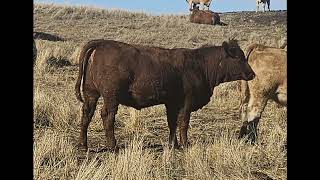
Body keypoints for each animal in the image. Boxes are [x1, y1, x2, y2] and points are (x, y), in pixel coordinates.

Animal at [75, 39, 255, 150]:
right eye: (239, 58)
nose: (252, 74)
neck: (200, 65)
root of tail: (103, 43)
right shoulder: (186, 103)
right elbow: (183, 123)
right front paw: (185, 144)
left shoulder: (172, 103)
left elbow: (172, 123)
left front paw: (173, 145)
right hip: (111, 97)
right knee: (107, 116)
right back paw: (113, 146)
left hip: (91, 94)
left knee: (86, 114)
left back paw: (83, 145)